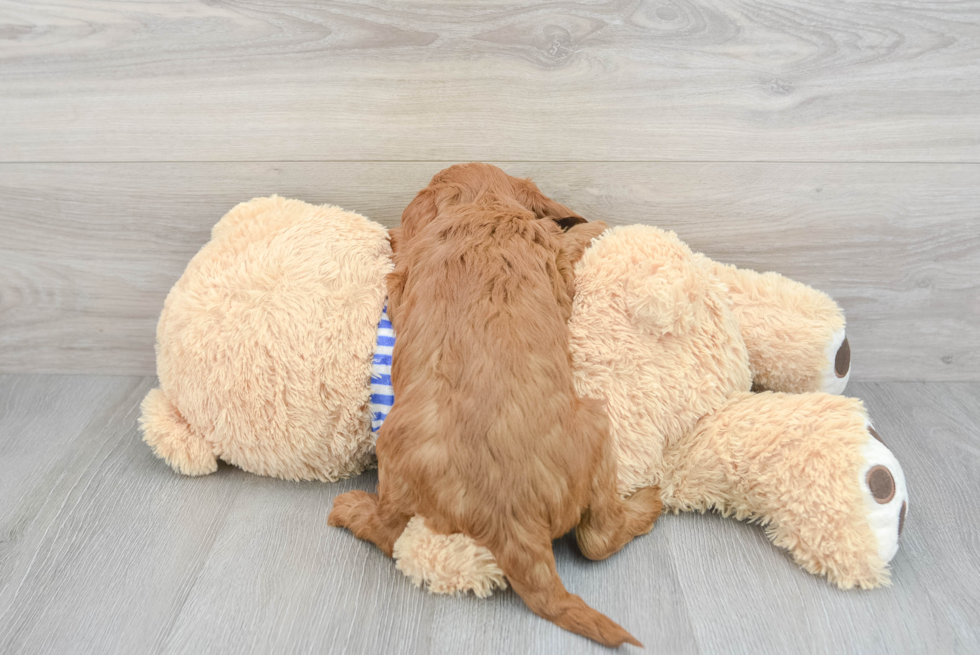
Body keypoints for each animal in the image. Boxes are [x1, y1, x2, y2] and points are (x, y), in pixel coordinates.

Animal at [330, 167, 660, 648]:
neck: (482, 208)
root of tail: (511, 521)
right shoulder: (554, 258)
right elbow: (570, 242)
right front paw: (594, 226)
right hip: (598, 424)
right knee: (597, 537)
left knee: (393, 530)